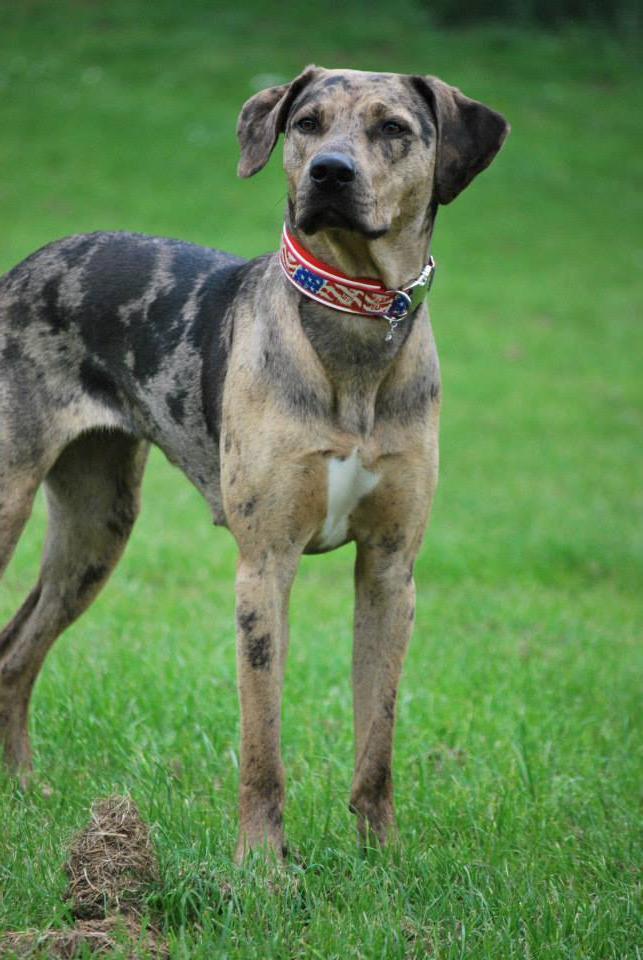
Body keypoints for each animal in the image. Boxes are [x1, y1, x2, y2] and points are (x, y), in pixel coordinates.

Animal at [0, 67, 508, 864]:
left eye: (394, 127)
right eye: (306, 122)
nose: (331, 171)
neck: (352, 322)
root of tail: (25, 265)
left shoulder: (390, 567)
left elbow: (378, 736)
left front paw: (382, 856)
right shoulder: (265, 563)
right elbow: (262, 743)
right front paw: (262, 864)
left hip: (96, 526)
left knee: (15, 654)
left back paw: (24, 792)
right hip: (11, 495)